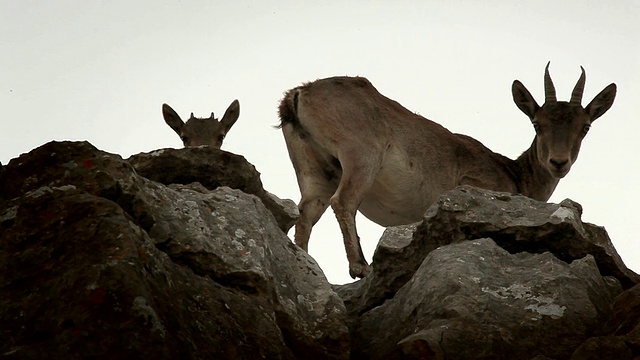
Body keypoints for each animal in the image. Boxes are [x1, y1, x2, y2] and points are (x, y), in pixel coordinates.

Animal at [278, 63, 616, 280]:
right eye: (537, 124)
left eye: (584, 127)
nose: (558, 162)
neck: (517, 175)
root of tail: (298, 95)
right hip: (361, 157)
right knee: (344, 202)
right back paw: (359, 267)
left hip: (314, 171)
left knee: (306, 215)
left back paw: (306, 265)